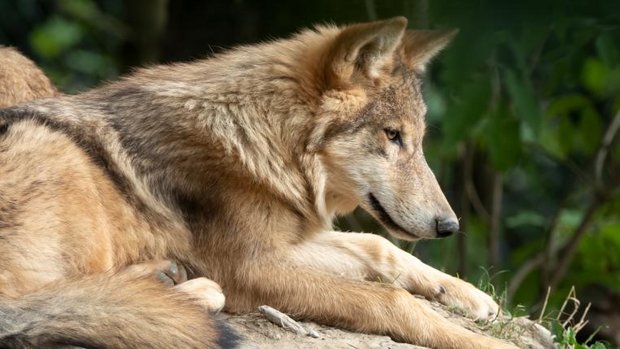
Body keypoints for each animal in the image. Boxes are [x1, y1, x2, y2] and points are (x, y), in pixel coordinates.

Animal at [0, 17, 520, 346]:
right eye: (392, 136)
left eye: (419, 140)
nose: (449, 226)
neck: (260, 143)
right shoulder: (250, 268)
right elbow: (390, 300)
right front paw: (486, 343)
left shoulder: (283, 243)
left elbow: (380, 249)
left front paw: (471, 297)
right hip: (57, 153)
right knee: (41, 304)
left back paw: (166, 278)